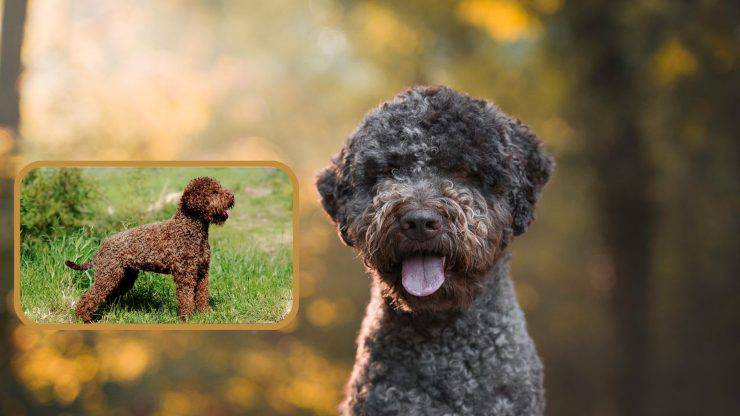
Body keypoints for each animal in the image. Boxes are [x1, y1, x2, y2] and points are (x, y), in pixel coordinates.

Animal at [67, 176, 234, 322]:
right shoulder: (185, 274)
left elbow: (202, 295)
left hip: (124, 276)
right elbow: (186, 298)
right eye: (214, 192)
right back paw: (84, 317)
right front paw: (187, 317)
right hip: (108, 275)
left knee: (109, 297)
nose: (232, 196)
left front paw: (205, 314)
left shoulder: (202, 272)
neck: (189, 229)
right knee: (89, 297)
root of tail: (103, 245)